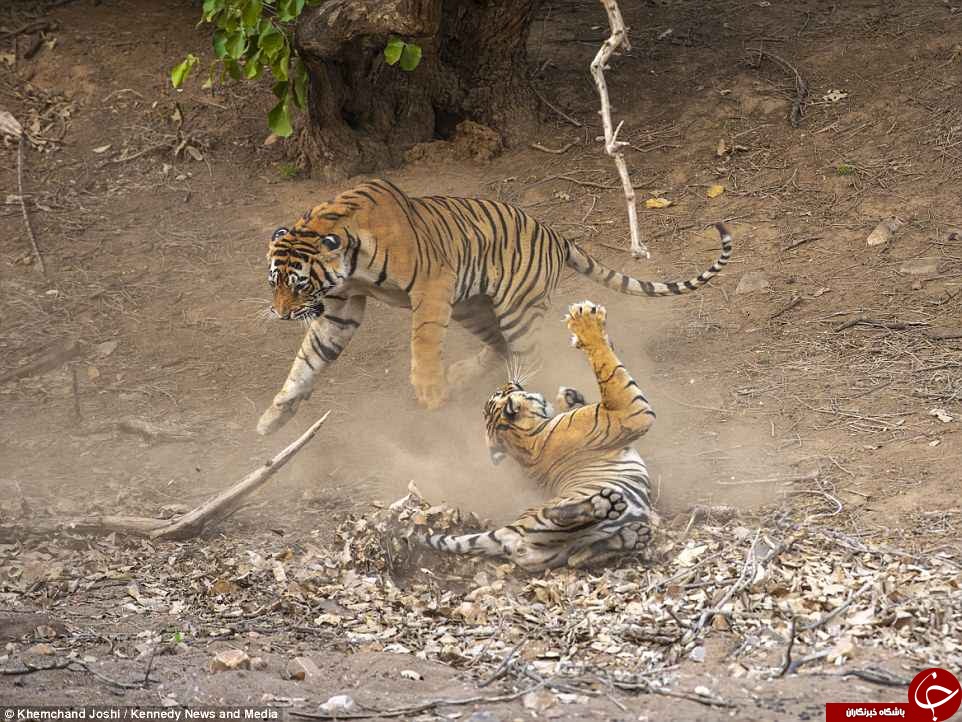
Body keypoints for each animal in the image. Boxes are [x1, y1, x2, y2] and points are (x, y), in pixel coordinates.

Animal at [255, 177, 728, 436]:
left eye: (299, 284)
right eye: (275, 282)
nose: (281, 314)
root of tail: (557, 236)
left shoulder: (432, 285)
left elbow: (423, 340)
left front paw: (429, 391)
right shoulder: (341, 306)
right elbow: (309, 360)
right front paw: (274, 416)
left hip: (513, 308)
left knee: (528, 355)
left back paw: (514, 398)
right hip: (473, 305)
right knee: (498, 345)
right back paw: (467, 374)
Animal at [422, 298, 660, 568]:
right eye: (500, 391)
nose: (506, 382)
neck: (524, 439)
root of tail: (507, 532)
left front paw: (570, 395)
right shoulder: (628, 413)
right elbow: (608, 368)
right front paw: (586, 324)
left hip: (557, 553)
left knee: (577, 558)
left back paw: (632, 536)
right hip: (546, 521)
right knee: (555, 513)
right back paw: (603, 504)